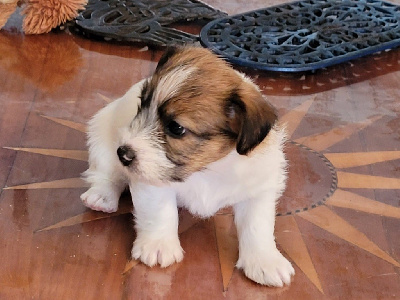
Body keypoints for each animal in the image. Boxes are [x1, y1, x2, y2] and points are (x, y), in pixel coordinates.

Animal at [80, 46, 294, 286]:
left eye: (176, 128)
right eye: (141, 106)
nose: (123, 153)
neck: (207, 169)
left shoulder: (259, 189)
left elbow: (257, 226)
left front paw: (264, 260)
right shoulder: (153, 180)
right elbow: (161, 212)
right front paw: (159, 245)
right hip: (102, 137)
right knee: (107, 175)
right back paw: (101, 197)